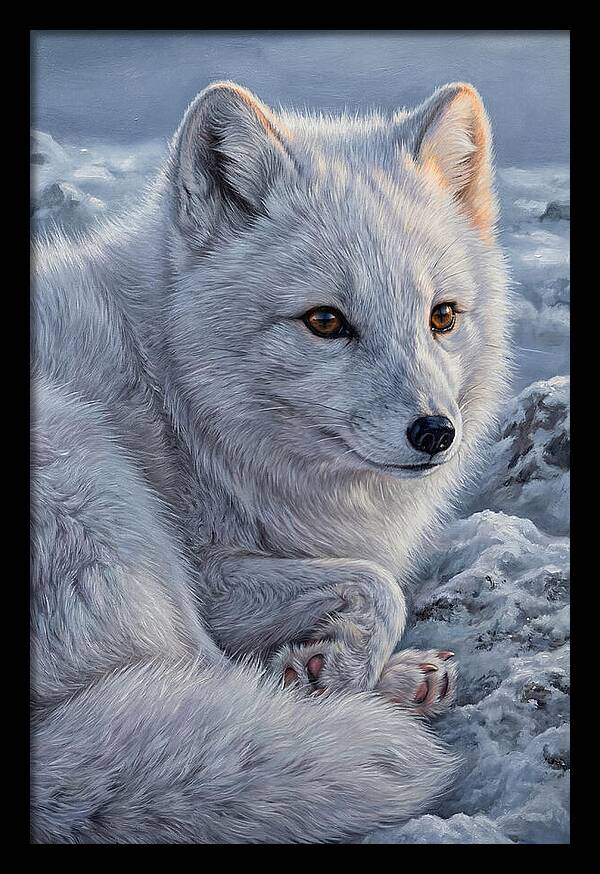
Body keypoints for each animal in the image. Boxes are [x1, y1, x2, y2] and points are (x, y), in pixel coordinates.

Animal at [30, 80, 512, 843]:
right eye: (325, 322)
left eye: (442, 316)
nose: (436, 433)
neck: (174, 393)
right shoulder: (208, 572)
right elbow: (381, 584)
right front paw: (335, 670)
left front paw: (334, 663)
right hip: (98, 488)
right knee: (206, 681)